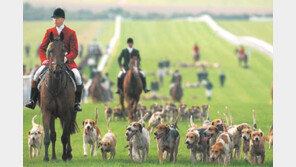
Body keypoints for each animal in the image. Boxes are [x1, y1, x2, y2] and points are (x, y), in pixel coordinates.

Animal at [40, 32, 77, 161]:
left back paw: (68, 153)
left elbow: (64, 137)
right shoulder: (46, 112)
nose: (57, 71)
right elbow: (48, 136)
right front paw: (47, 157)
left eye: (63, 50)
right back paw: (54, 156)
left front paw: (65, 156)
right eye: (50, 50)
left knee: (68, 133)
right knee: (53, 135)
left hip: (70, 114)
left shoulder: (67, 113)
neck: (56, 87)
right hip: (54, 116)